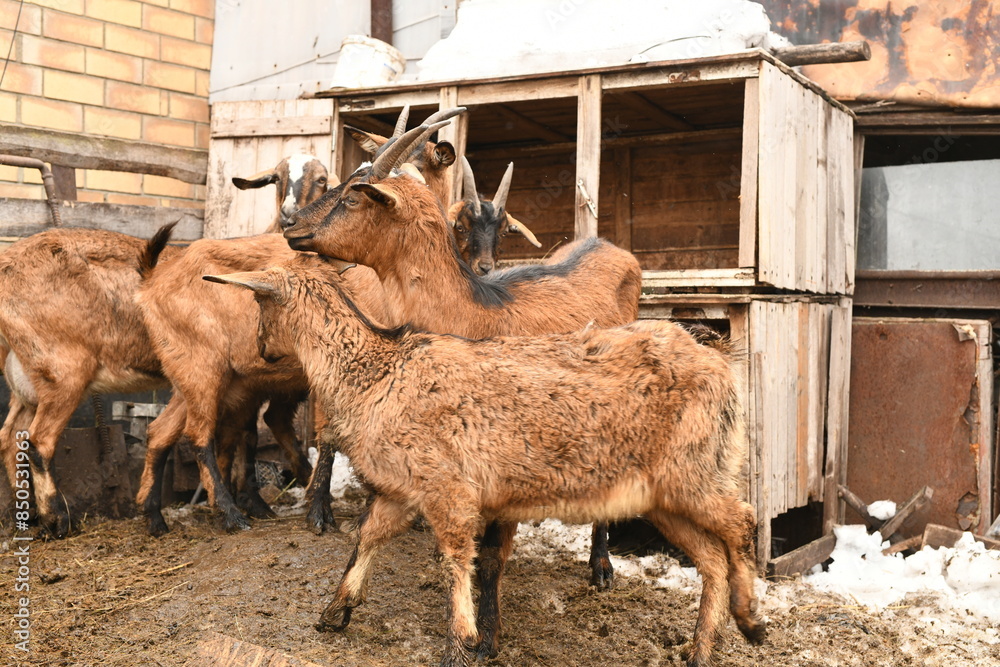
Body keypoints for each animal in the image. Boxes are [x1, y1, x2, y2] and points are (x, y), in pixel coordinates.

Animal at [207, 264, 760, 667]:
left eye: (258, 304)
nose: (259, 349)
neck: (376, 373)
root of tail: (718, 360)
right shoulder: (401, 490)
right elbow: (369, 537)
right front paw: (335, 611)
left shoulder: (449, 488)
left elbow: (457, 559)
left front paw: (461, 642)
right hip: (667, 494)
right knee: (712, 558)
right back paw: (702, 648)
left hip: (695, 471)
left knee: (743, 523)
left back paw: (750, 618)